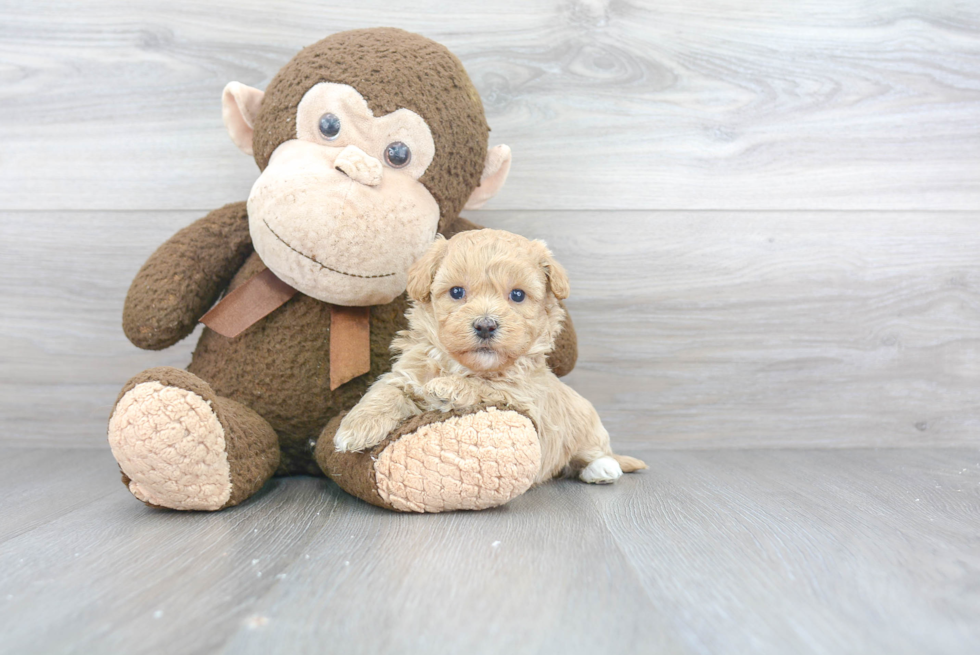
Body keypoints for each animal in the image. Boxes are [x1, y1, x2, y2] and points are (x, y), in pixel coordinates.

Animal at [334, 228, 648, 484]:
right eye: (457, 292)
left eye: (518, 295)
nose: (485, 325)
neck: (461, 366)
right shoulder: (406, 372)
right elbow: (385, 391)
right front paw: (355, 428)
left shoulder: (522, 396)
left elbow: (487, 385)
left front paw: (448, 388)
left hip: (586, 423)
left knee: (595, 451)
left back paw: (603, 468)